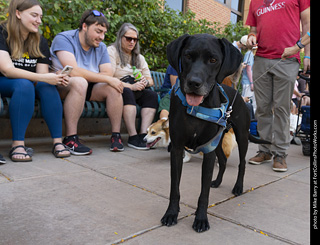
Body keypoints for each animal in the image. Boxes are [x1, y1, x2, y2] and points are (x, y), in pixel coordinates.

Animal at [161, 33, 266, 233]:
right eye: (187, 56)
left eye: (213, 60)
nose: (194, 83)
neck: (197, 107)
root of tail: (240, 96)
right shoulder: (178, 149)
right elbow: (174, 188)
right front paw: (171, 213)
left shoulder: (208, 152)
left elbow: (204, 193)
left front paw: (201, 219)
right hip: (218, 141)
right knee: (223, 161)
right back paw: (217, 181)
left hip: (241, 137)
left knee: (241, 163)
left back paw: (238, 187)